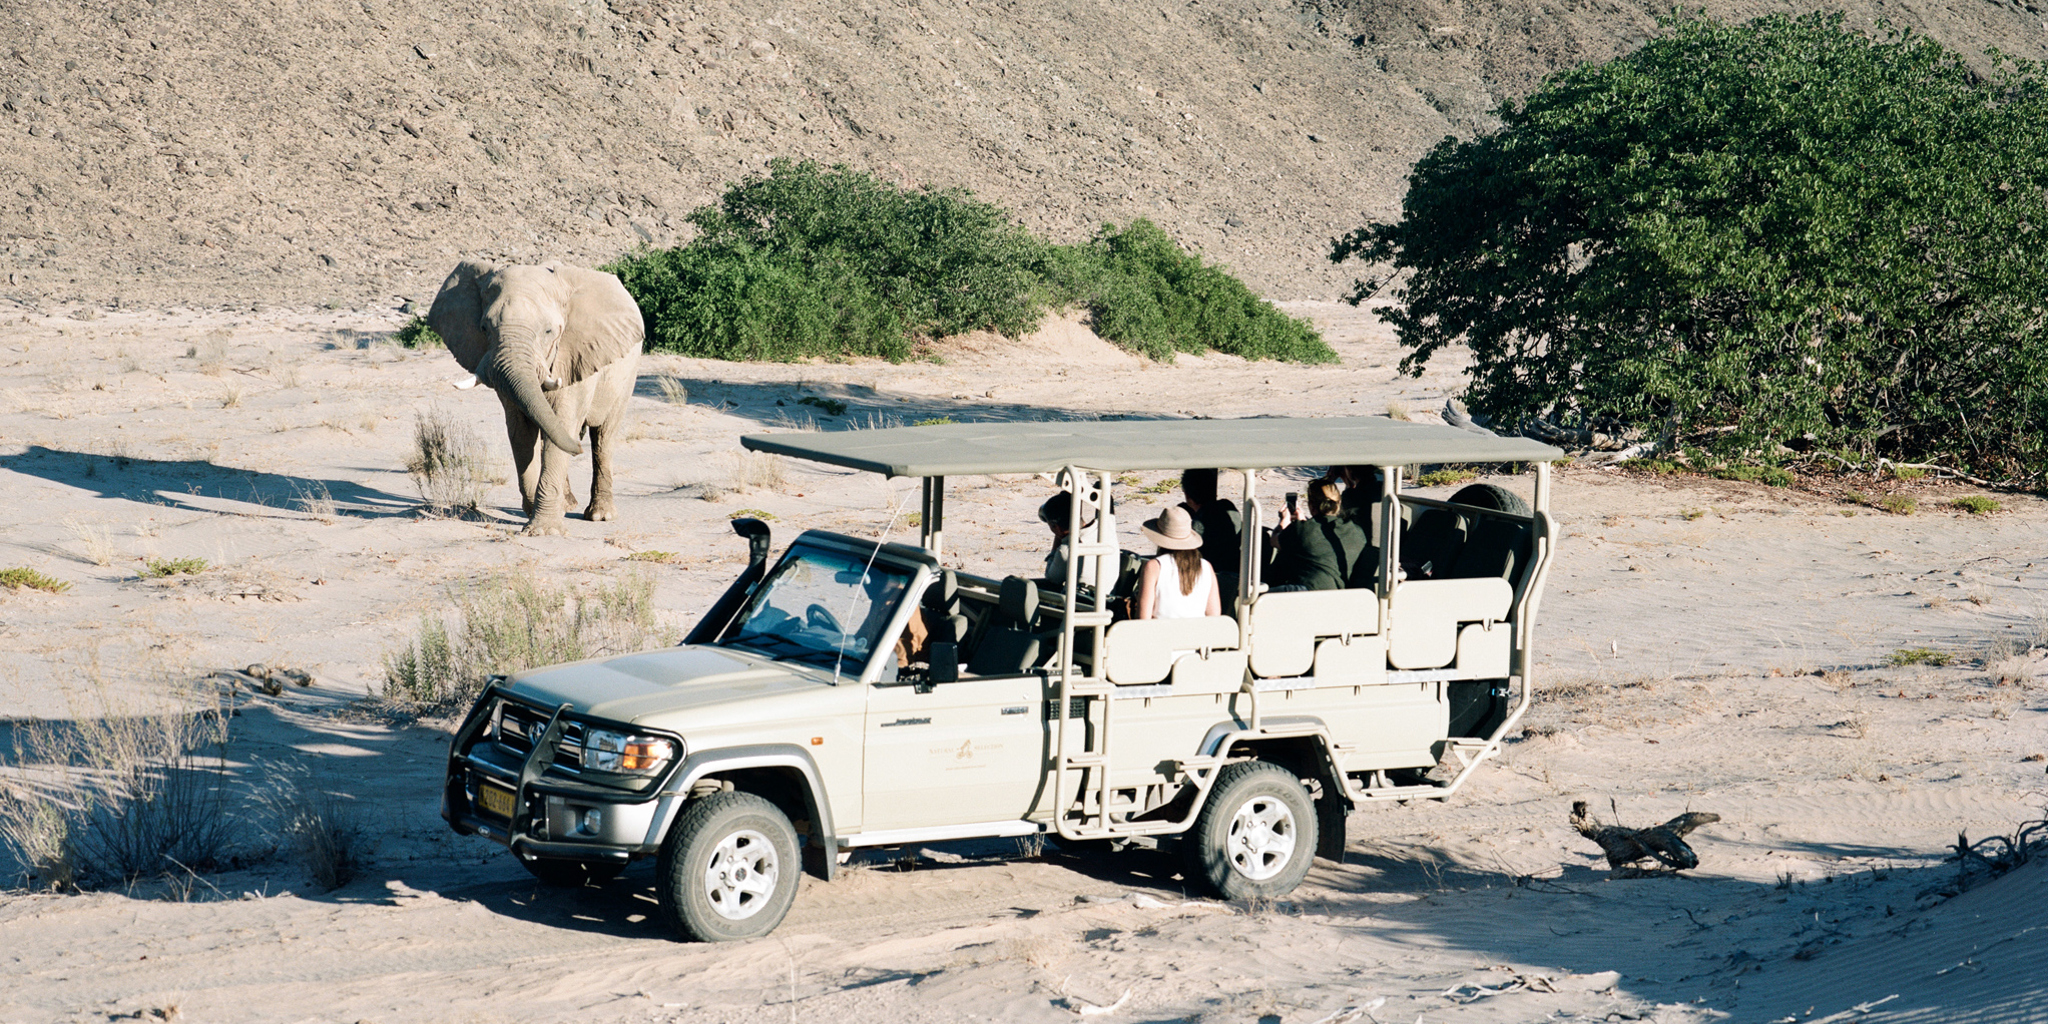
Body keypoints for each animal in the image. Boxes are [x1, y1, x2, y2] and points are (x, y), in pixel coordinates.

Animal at [427, 259, 643, 536]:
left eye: (549, 331)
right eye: (484, 328)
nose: (578, 449)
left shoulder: (574, 352)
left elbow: (562, 423)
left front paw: (543, 530)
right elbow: (521, 432)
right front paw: (534, 515)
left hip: (628, 371)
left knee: (603, 435)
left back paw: (600, 515)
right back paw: (567, 504)